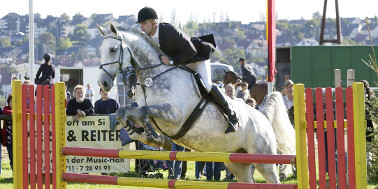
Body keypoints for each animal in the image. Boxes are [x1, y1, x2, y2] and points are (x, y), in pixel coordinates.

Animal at [95, 23, 296, 183]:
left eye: (113, 49)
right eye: (100, 50)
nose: (103, 83)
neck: (155, 75)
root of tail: (262, 115)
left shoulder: (174, 115)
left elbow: (145, 111)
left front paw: (155, 137)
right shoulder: (146, 111)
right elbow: (124, 113)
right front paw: (147, 135)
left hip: (263, 160)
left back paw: (233, 120)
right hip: (237, 162)